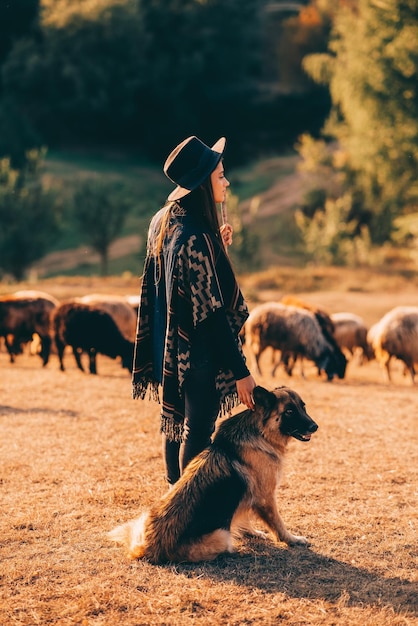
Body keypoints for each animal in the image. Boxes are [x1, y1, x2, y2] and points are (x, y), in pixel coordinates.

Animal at [108, 382, 316, 564]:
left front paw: (252, 532)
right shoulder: (266, 498)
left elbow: (243, 515)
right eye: (289, 411)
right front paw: (293, 540)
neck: (261, 432)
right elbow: (279, 524)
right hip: (221, 535)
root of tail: (147, 548)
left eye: (303, 407)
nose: (315, 427)